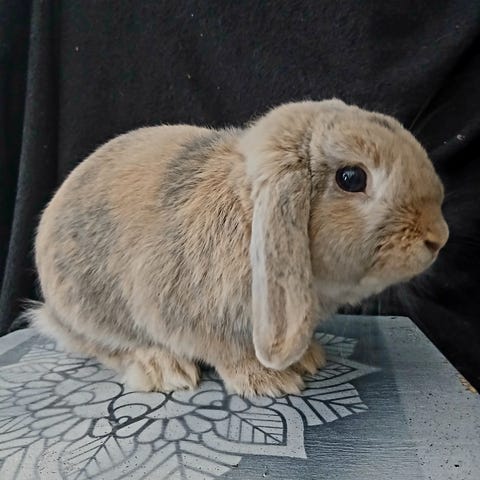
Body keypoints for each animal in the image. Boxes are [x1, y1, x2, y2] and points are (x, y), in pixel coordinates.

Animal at [27, 99, 449, 398]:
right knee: (103, 344)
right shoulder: (192, 316)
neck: (247, 212)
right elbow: (229, 351)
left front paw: (310, 358)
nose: (438, 237)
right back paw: (161, 367)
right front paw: (269, 381)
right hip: (87, 309)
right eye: (351, 178)